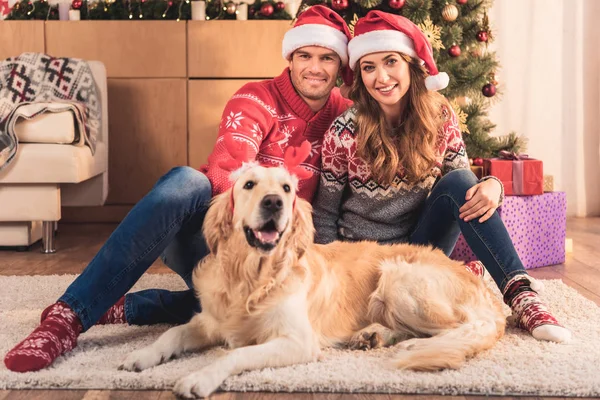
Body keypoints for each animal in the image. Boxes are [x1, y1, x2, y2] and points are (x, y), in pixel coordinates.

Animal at [120, 164, 506, 398]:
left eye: (287, 188)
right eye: (248, 185)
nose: (274, 202)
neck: (252, 277)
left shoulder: (297, 341)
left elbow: (236, 354)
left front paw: (198, 377)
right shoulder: (212, 319)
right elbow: (173, 332)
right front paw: (141, 356)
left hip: (399, 279)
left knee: (458, 329)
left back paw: (407, 345)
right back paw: (373, 335)